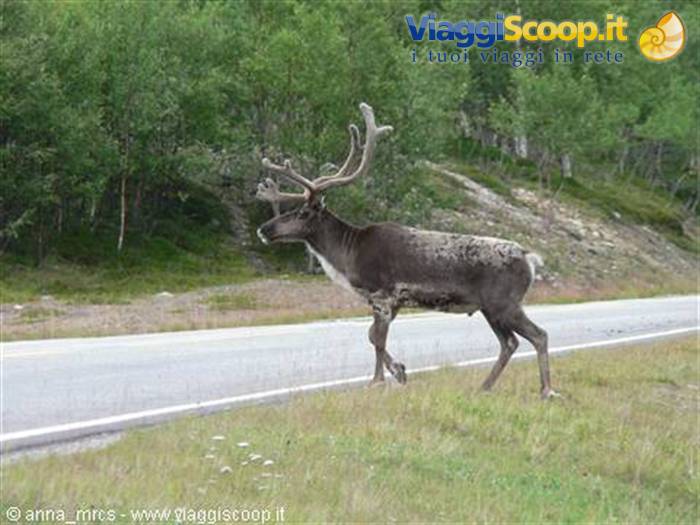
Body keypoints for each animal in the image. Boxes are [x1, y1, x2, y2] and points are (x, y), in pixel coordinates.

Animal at [256, 103, 559, 399]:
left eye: (303, 213)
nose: (264, 229)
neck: (348, 253)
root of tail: (530, 259)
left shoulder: (382, 294)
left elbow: (378, 339)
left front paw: (377, 381)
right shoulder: (395, 301)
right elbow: (370, 335)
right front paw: (399, 371)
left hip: (504, 303)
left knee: (538, 335)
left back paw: (546, 390)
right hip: (490, 308)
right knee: (510, 342)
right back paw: (484, 387)